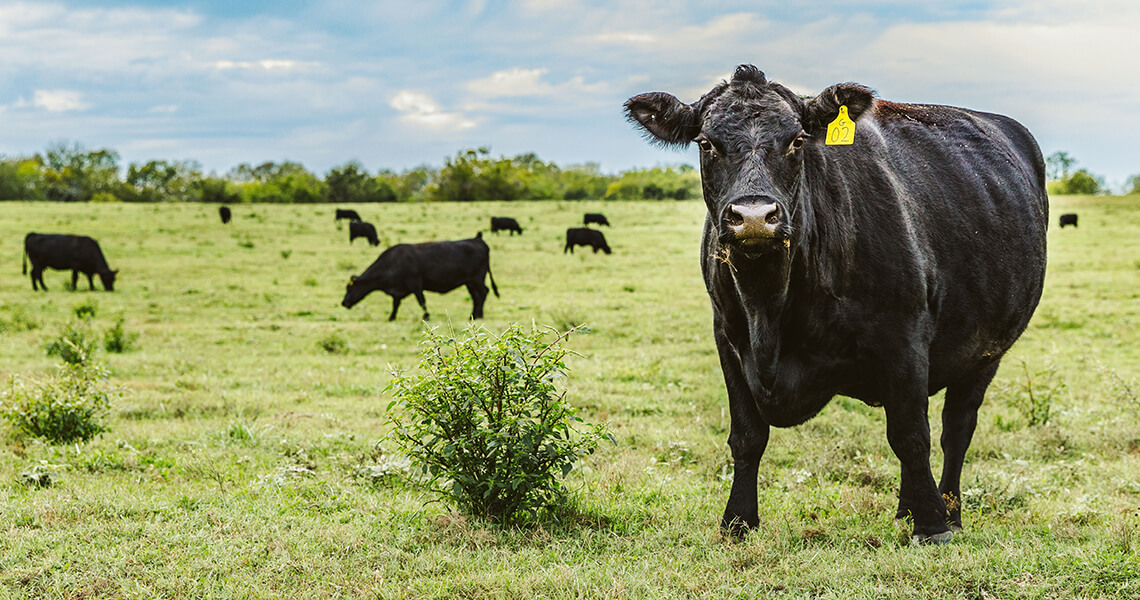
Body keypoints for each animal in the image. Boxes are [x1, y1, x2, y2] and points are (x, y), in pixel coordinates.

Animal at [342, 232, 499, 321]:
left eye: (349, 289)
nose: (344, 302)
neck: (393, 262)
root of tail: (478, 240)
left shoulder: (415, 283)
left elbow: (421, 301)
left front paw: (427, 316)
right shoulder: (399, 291)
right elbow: (395, 304)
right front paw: (391, 317)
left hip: (477, 279)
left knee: (483, 293)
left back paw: (479, 315)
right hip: (469, 282)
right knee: (476, 296)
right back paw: (474, 315)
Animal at [625, 65, 1047, 544]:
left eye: (796, 140)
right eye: (706, 143)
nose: (754, 217)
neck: (769, 306)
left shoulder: (904, 337)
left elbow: (911, 435)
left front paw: (933, 525)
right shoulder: (728, 337)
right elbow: (747, 436)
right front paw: (738, 521)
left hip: (986, 351)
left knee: (955, 429)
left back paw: (948, 511)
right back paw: (906, 510)